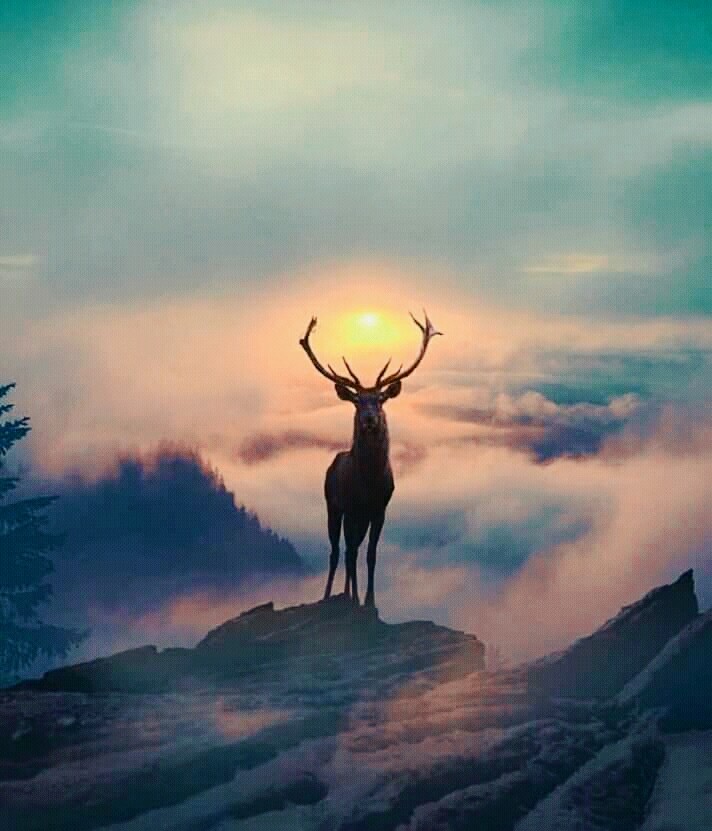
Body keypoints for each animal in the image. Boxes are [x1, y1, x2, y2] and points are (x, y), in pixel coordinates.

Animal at [299, 310, 442, 607]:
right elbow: (351, 554)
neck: (369, 482)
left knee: (350, 550)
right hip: (333, 506)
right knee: (337, 551)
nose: (369, 419)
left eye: (380, 399)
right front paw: (355, 598)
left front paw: (370, 601)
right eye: (357, 401)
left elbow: (371, 555)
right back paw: (332, 594)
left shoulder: (379, 509)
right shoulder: (351, 507)